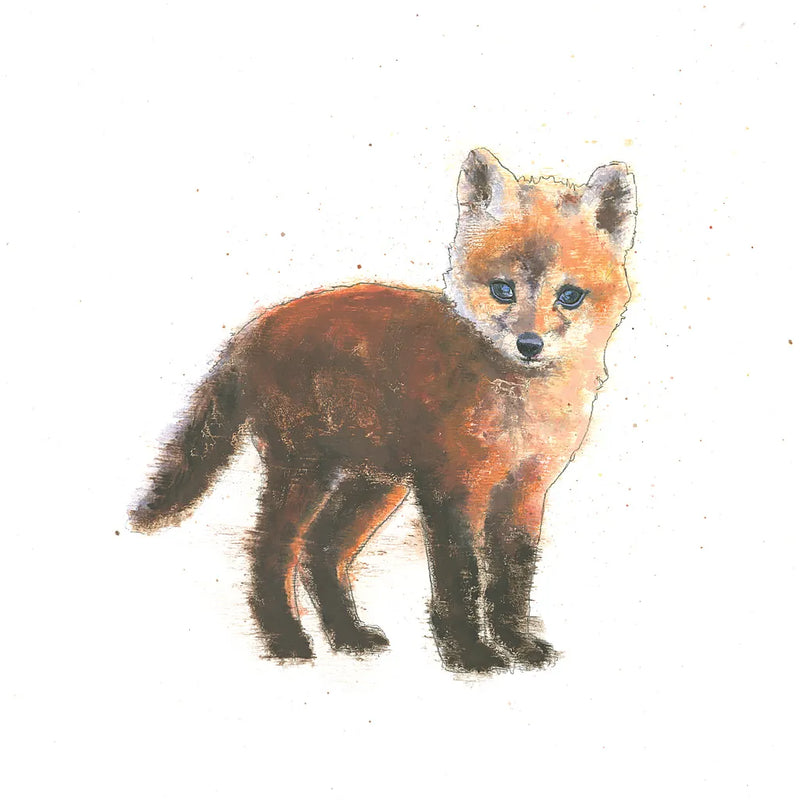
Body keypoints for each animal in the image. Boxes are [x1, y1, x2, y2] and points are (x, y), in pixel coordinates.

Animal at [130, 148, 636, 672]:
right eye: (503, 290)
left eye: (570, 296)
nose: (529, 345)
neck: (520, 407)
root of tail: (253, 329)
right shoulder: (451, 489)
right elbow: (461, 579)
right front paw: (469, 654)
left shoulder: (526, 491)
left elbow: (511, 582)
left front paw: (516, 644)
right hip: (307, 474)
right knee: (272, 551)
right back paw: (286, 641)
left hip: (374, 484)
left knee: (321, 551)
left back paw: (348, 636)